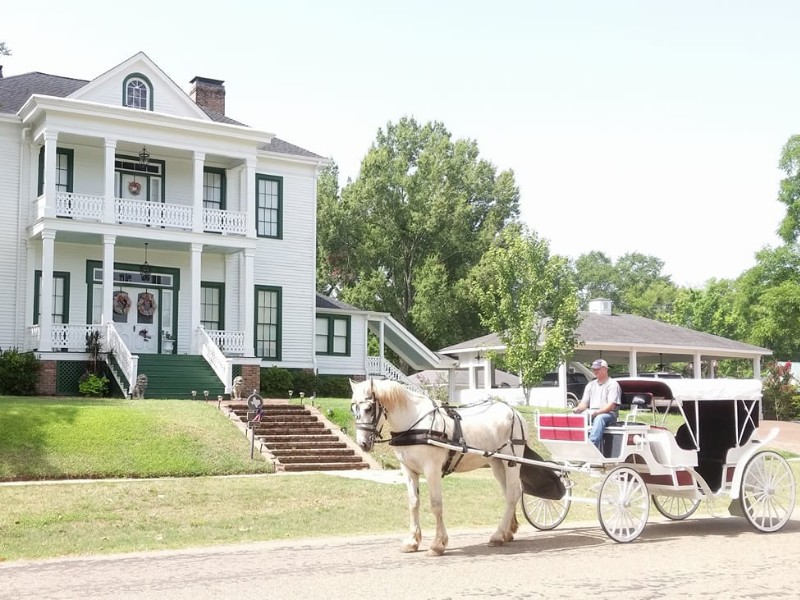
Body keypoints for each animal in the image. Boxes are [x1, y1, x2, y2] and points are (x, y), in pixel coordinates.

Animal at [350, 378, 564, 556]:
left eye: (369, 408)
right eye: (354, 409)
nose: (362, 444)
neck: (414, 422)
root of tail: (514, 412)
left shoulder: (432, 469)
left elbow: (435, 505)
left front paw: (438, 544)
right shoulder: (408, 470)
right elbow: (413, 503)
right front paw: (412, 541)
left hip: (512, 460)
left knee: (512, 494)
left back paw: (497, 535)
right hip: (497, 463)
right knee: (510, 494)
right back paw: (507, 532)